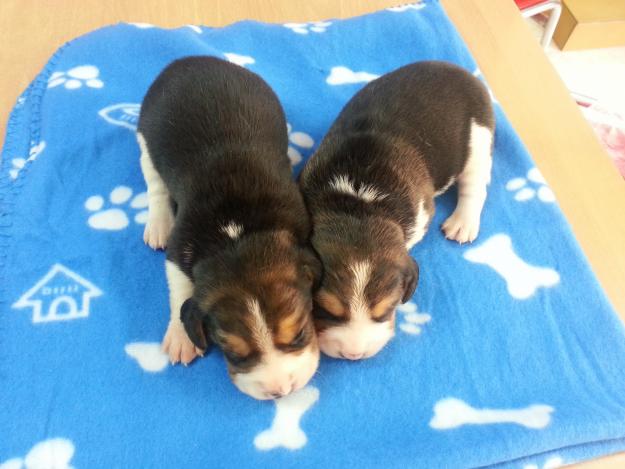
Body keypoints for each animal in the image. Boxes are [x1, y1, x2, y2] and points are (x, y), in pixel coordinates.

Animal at [138, 54, 320, 398]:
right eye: (235, 354)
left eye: (299, 334)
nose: (280, 391)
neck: (237, 237)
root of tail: (191, 60)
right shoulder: (179, 246)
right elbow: (179, 285)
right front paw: (180, 336)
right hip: (144, 138)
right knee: (154, 183)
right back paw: (158, 223)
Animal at [300, 60, 494, 360]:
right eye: (326, 310)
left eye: (386, 310)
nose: (354, 355)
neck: (359, 205)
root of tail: (460, 71)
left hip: (479, 141)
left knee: (475, 186)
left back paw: (463, 223)